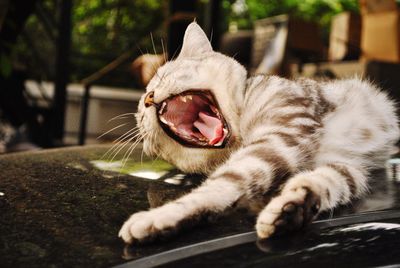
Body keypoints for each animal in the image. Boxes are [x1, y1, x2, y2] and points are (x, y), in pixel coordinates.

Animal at [119, 22, 400, 244]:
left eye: (165, 74)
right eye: (140, 115)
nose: (148, 98)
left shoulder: (282, 134)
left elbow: (220, 184)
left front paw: (160, 216)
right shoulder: (348, 169)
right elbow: (325, 184)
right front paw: (292, 209)